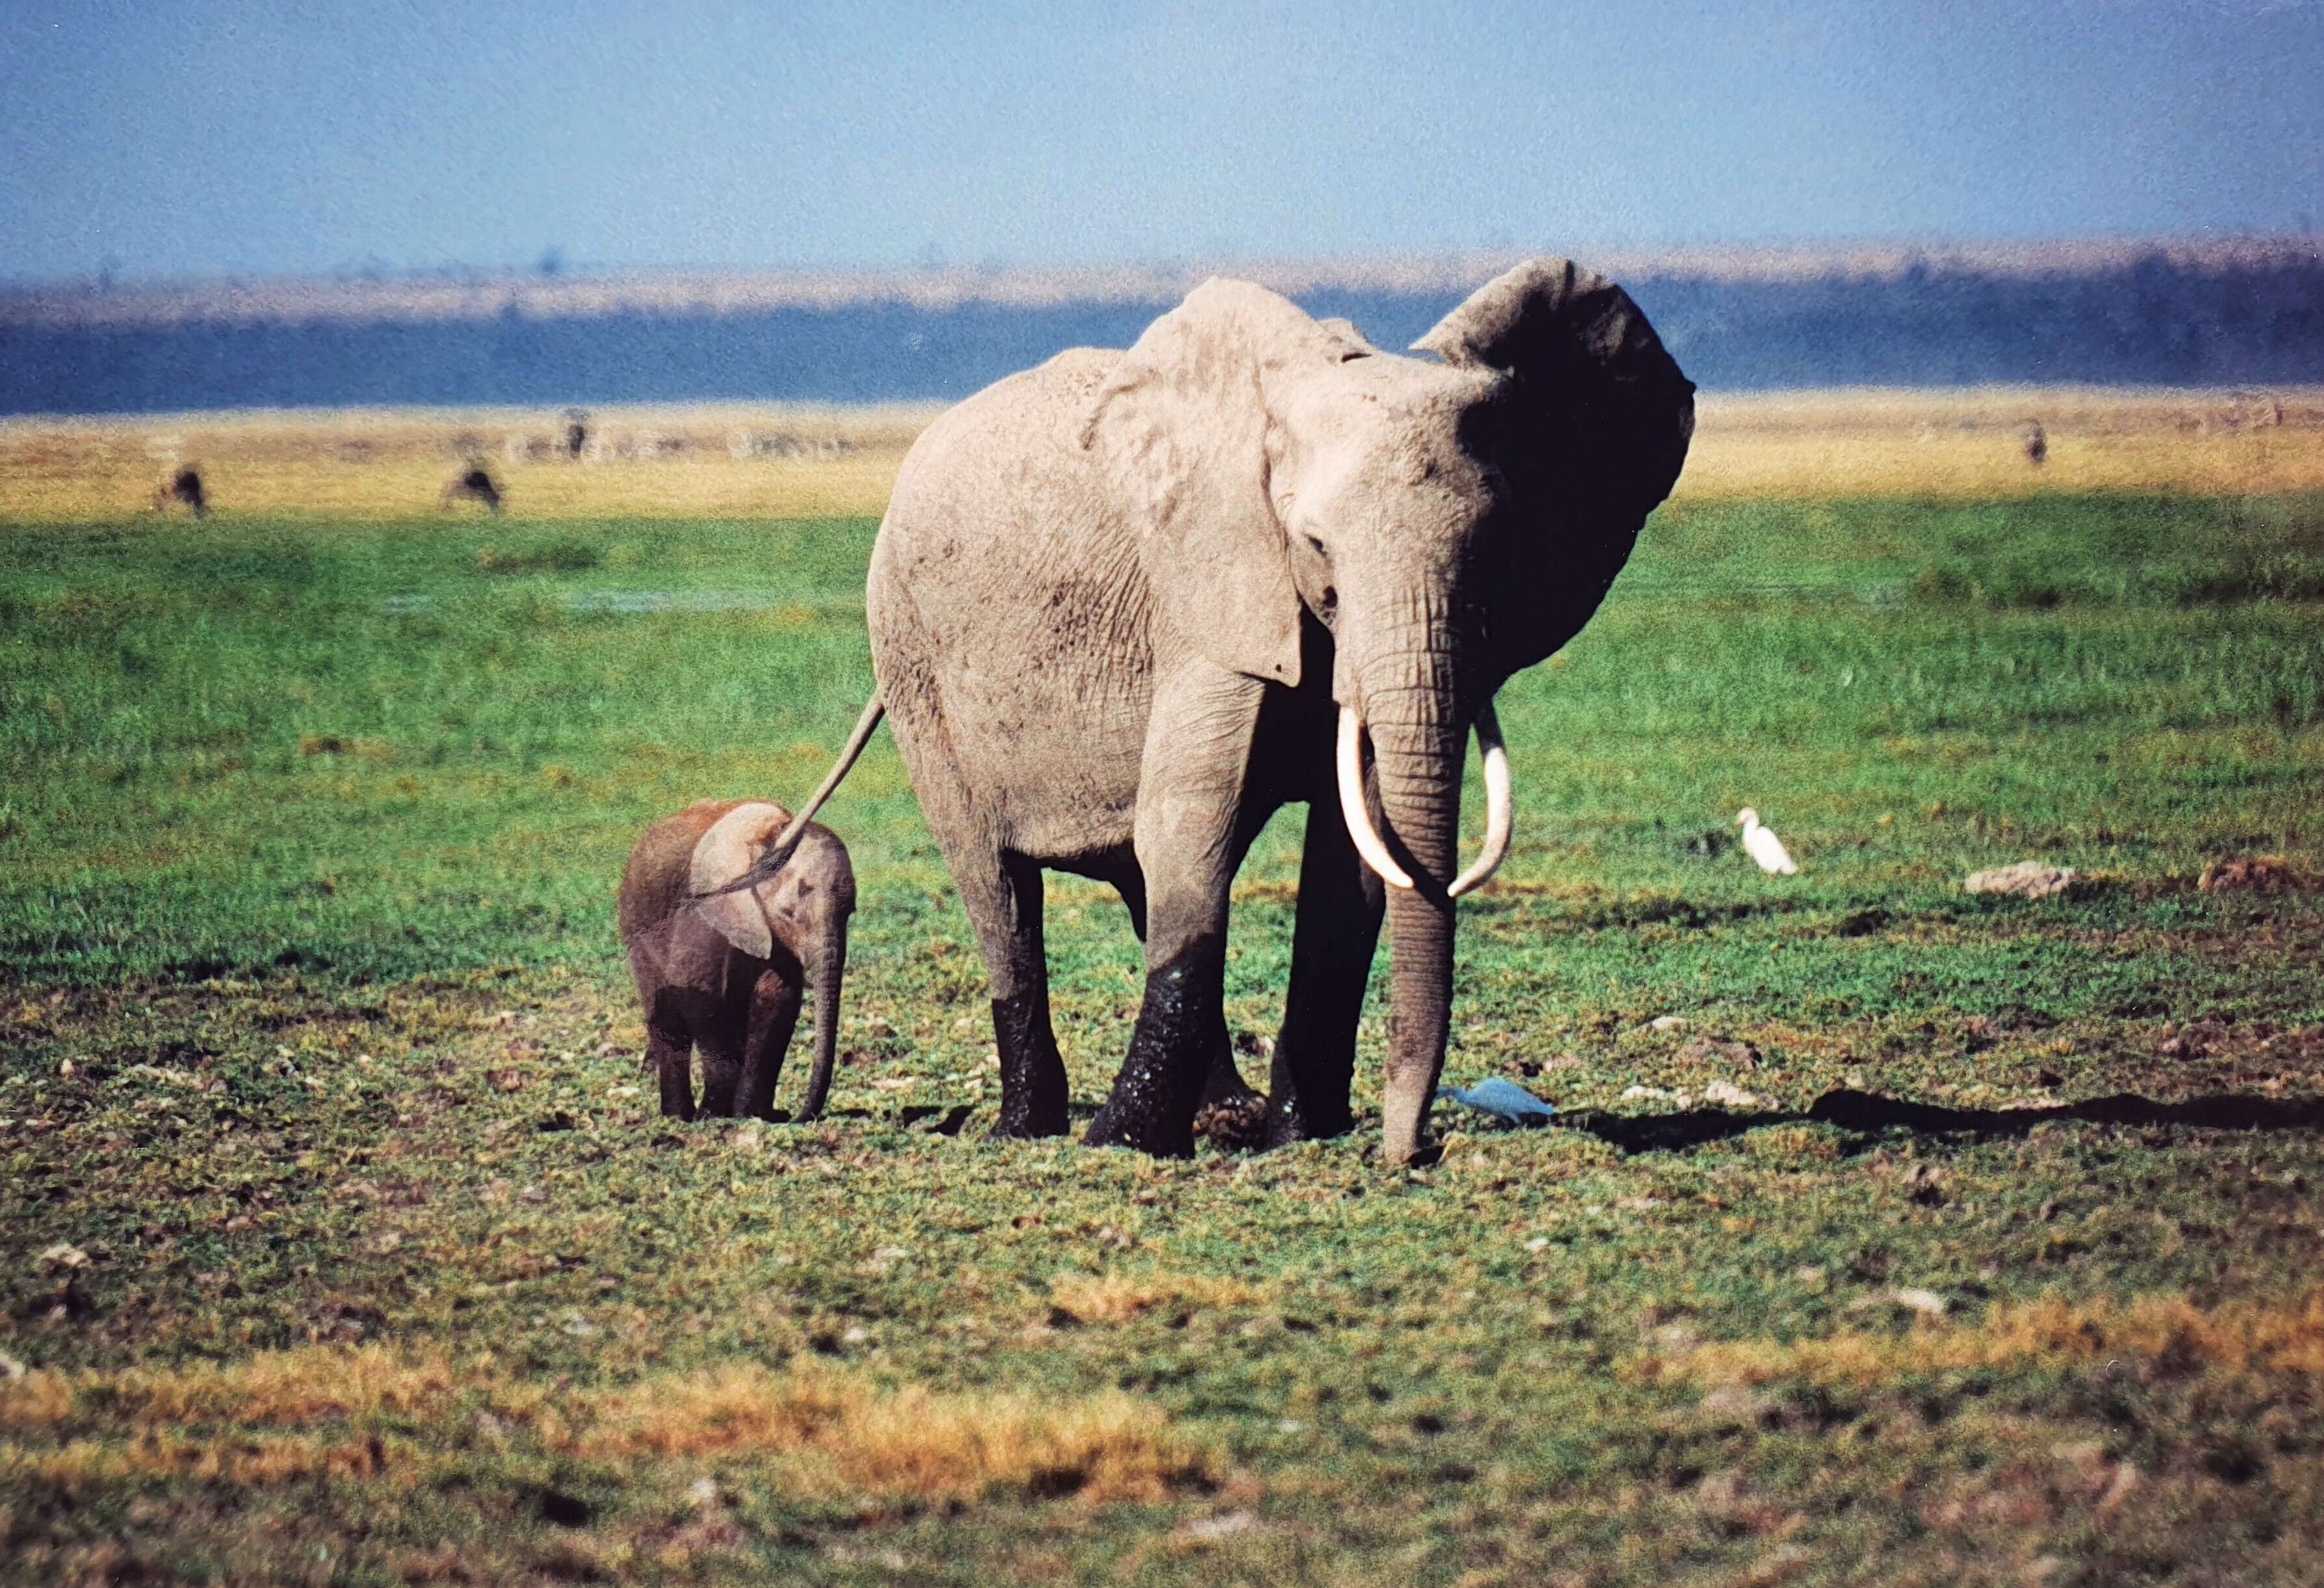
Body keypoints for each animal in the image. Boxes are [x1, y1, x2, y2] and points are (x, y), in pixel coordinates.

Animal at [622, 800, 859, 1125]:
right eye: (787, 913)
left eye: (851, 911)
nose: (794, 1116)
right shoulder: (703, 915)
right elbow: (700, 1000)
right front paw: (713, 1116)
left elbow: (776, 1002)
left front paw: (752, 1115)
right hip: (637, 932)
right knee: (666, 1014)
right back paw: (677, 1116)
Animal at [753, 255, 1701, 1162]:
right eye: (1315, 545)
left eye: (1496, 545)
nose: (1413, 1149)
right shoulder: (1209, 592)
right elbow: (1192, 809)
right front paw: (1123, 1144)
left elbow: (1350, 852)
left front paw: (1296, 1135)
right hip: (911, 654)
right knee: (999, 882)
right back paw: (1029, 1127)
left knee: (1142, 875)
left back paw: (1226, 1115)